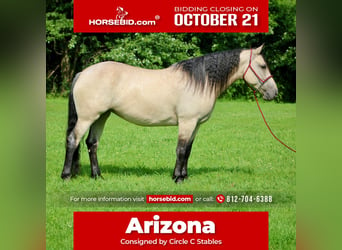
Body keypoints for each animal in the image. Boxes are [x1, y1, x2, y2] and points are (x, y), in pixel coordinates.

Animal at [60, 44, 278, 182]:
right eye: (262, 66)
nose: (274, 93)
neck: (200, 81)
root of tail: (83, 73)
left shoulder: (196, 125)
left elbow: (188, 150)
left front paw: (183, 176)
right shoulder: (187, 122)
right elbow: (180, 149)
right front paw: (178, 178)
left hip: (102, 116)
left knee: (92, 143)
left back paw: (97, 176)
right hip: (87, 118)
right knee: (73, 140)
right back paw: (66, 175)